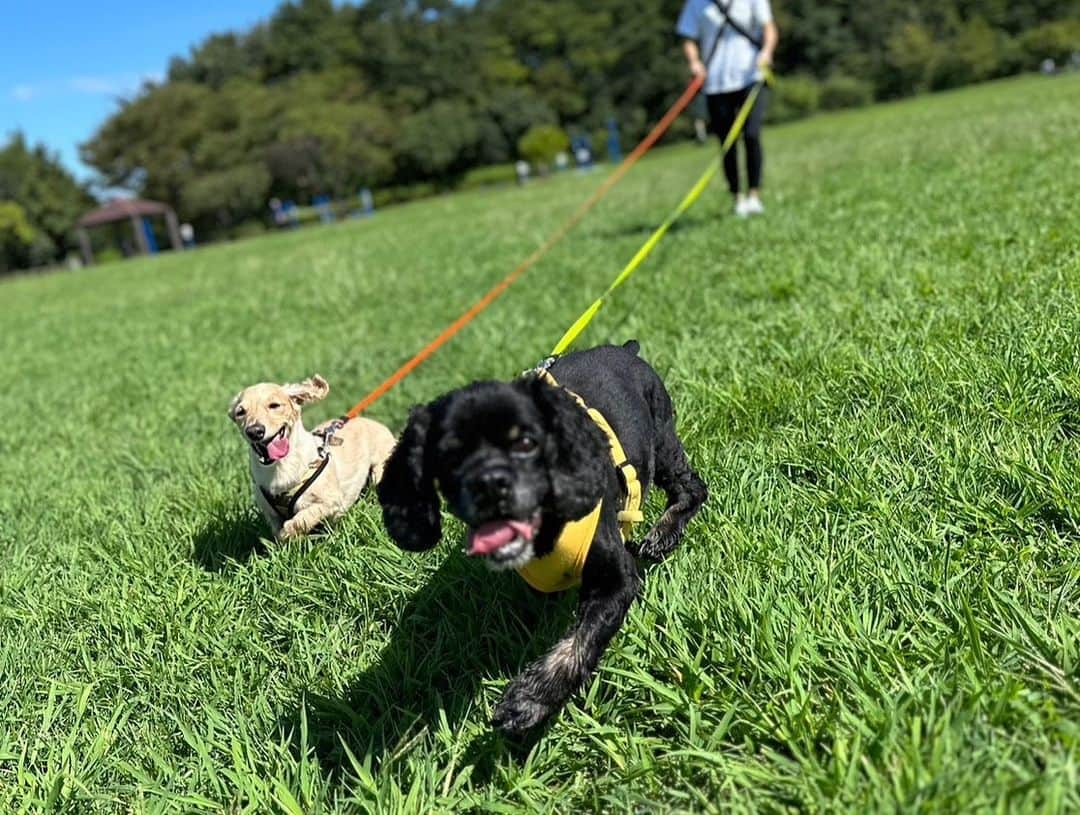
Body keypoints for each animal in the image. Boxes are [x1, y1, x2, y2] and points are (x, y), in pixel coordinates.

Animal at [227, 375, 397, 541]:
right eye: (240, 412)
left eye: (274, 405)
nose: (255, 431)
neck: (280, 469)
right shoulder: (271, 514)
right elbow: (278, 533)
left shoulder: (331, 501)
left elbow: (302, 518)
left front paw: (288, 531)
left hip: (378, 473)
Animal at [380, 341, 708, 738]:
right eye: (449, 457)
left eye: (526, 443)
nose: (490, 484)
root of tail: (626, 349)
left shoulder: (617, 579)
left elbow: (581, 640)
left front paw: (529, 701)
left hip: (662, 437)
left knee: (691, 487)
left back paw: (663, 534)